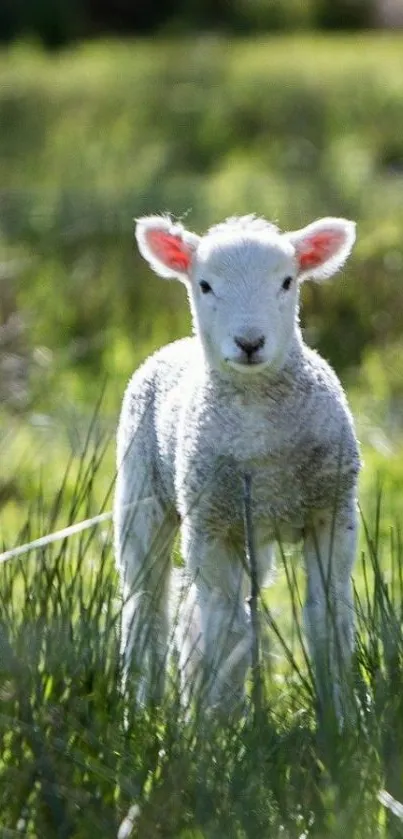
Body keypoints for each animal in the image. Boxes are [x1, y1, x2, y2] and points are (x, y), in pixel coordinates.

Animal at [115, 213, 362, 720]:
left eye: (287, 282)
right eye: (205, 285)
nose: (250, 342)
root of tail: (176, 345)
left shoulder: (332, 512)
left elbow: (328, 617)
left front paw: (340, 718)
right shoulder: (210, 526)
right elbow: (227, 630)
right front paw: (223, 727)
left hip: (252, 532)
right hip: (142, 496)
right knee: (147, 606)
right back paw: (143, 711)